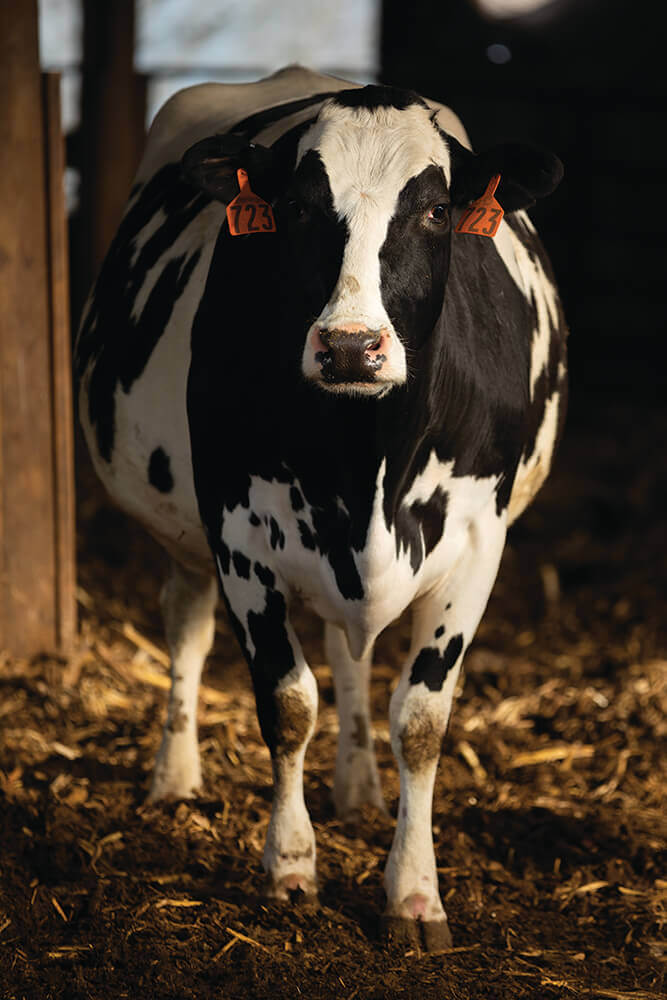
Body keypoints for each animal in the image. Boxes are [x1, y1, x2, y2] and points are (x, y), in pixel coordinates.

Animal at [77, 64, 568, 952]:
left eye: (435, 209)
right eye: (300, 208)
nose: (348, 347)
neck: (363, 463)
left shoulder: (477, 541)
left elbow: (420, 718)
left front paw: (414, 894)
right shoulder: (237, 532)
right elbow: (287, 701)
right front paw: (290, 867)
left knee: (351, 654)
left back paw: (360, 786)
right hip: (184, 535)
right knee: (187, 628)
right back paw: (175, 777)